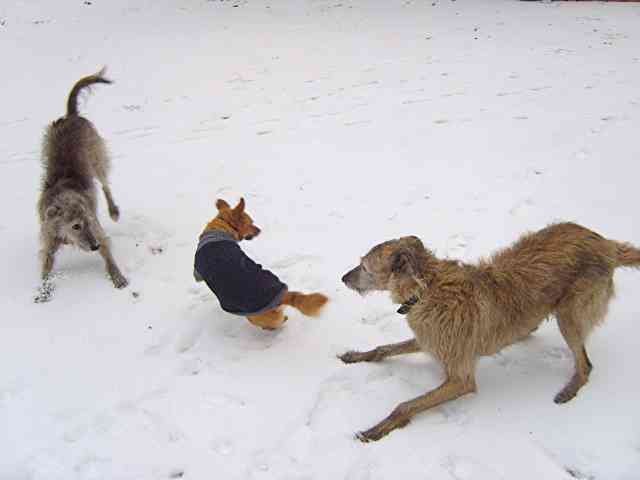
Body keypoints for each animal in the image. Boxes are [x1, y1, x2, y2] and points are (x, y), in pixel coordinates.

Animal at [37, 68, 129, 300]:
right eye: (76, 225)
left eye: (87, 221)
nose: (94, 246)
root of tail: (71, 115)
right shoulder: (48, 240)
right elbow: (45, 266)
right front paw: (42, 291)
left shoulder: (97, 231)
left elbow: (108, 253)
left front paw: (117, 277)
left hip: (97, 157)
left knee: (105, 184)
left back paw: (114, 210)